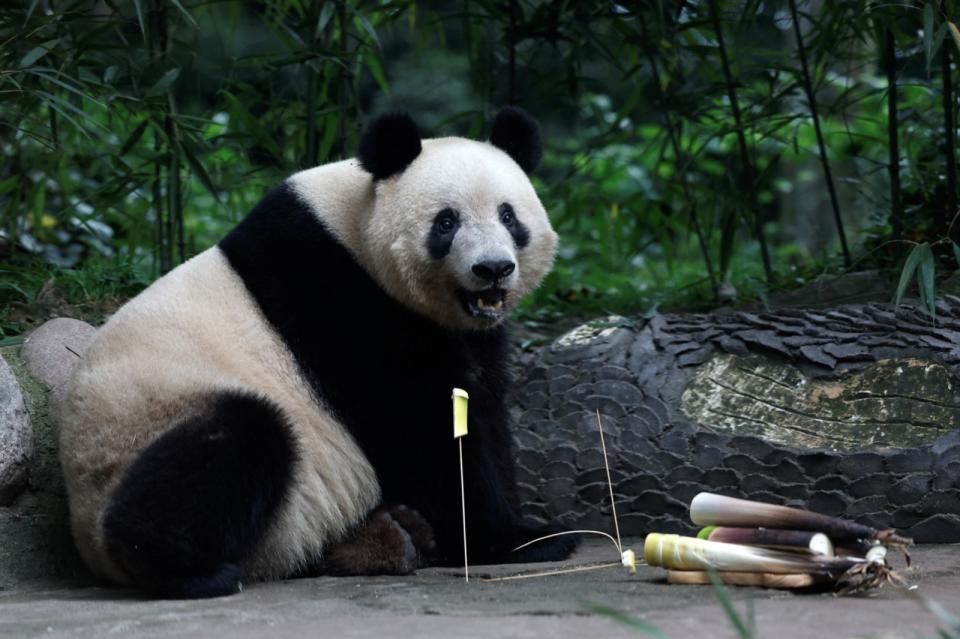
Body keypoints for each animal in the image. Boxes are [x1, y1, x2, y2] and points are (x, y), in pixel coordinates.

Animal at [58, 109, 576, 600]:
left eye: (508, 216)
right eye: (446, 222)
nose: (493, 269)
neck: (352, 231)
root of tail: (85, 538)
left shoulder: (471, 334)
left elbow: (481, 412)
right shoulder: (340, 300)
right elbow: (421, 428)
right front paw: (521, 539)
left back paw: (394, 536)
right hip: (145, 422)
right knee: (235, 441)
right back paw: (190, 571)